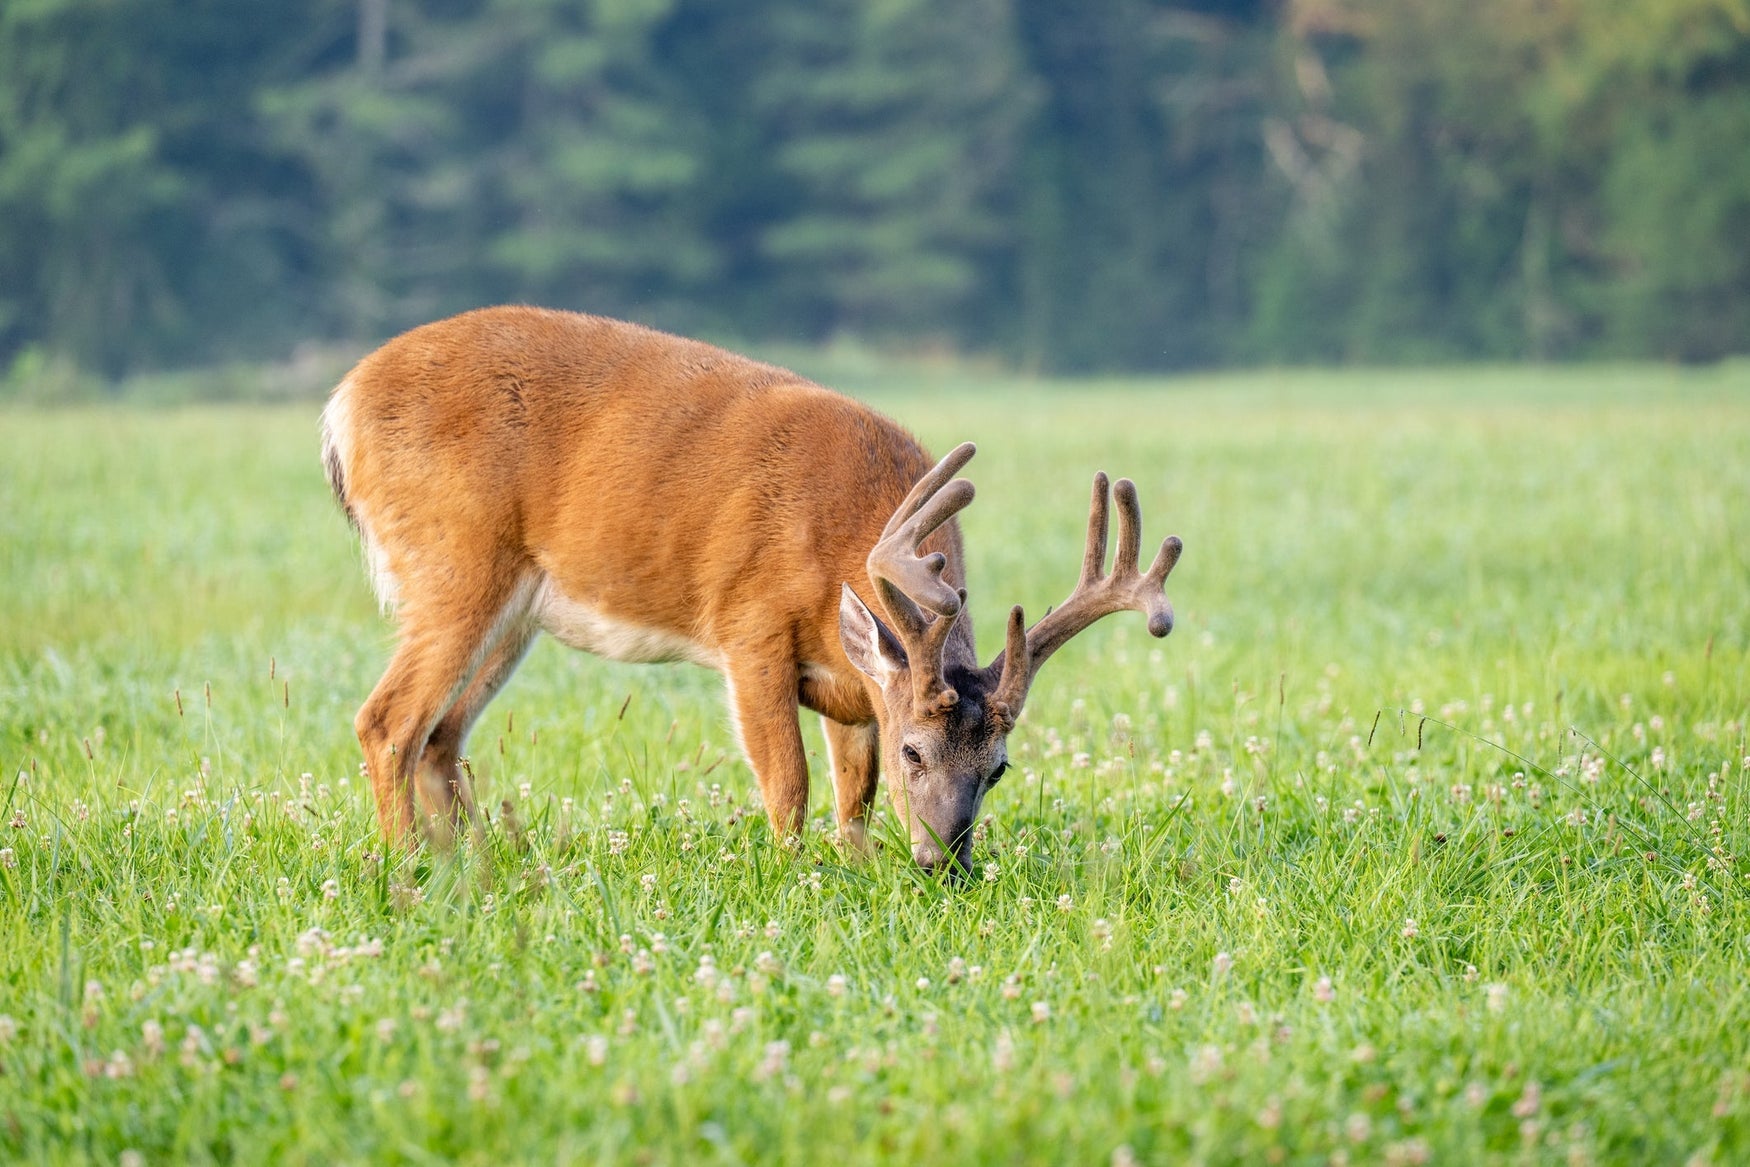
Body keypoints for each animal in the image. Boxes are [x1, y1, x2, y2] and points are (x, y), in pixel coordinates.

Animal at [320, 306, 1182, 871]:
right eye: (916, 748)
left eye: (998, 766)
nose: (946, 863)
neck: (846, 538)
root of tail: (340, 407)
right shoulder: (749, 624)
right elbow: (788, 781)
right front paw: (794, 873)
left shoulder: (853, 684)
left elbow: (854, 794)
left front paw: (856, 864)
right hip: (455, 560)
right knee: (388, 721)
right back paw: (410, 867)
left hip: (517, 611)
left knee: (441, 735)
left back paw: (476, 860)